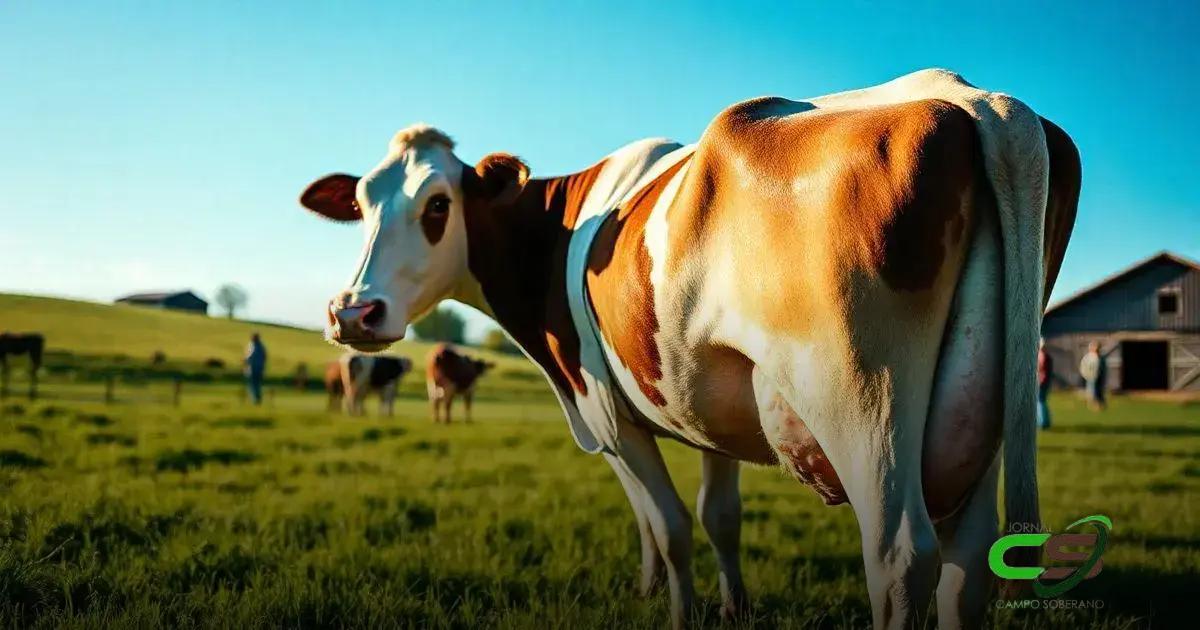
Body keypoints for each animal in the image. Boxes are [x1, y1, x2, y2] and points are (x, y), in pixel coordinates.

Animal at [299, 69, 1080, 629]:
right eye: (361, 203)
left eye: (438, 205)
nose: (352, 312)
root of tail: (975, 100)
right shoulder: (703, 407)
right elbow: (712, 517)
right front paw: (729, 604)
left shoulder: (604, 410)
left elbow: (667, 521)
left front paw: (677, 606)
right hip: (976, 409)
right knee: (967, 567)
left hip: (863, 402)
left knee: (899, 559)